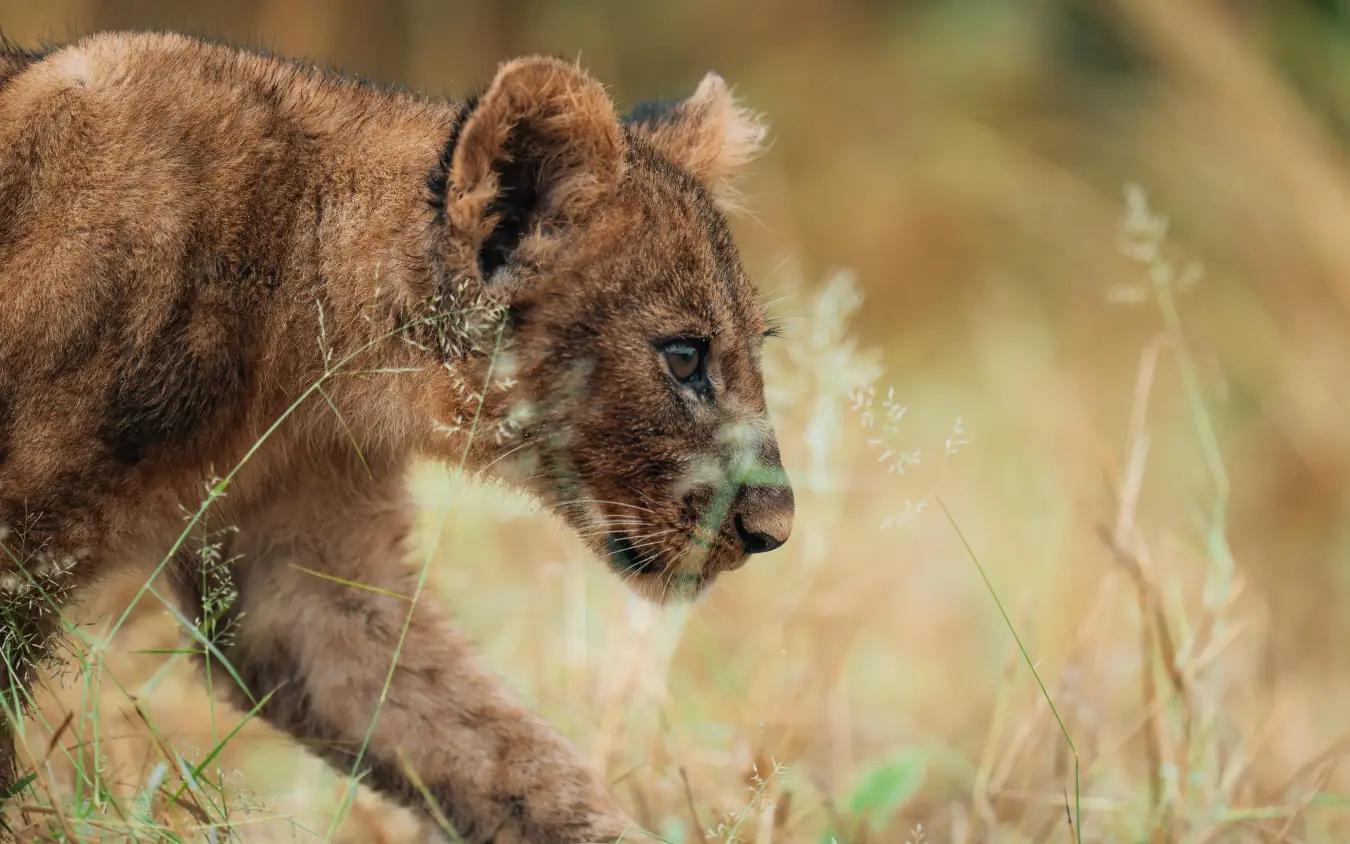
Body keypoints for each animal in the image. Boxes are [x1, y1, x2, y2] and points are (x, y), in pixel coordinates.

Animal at [0, 30, 794, 842]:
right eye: (685, 357)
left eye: (756, 347)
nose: (775, 529)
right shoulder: (17, 550)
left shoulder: (305, 576)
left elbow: (508, 755)